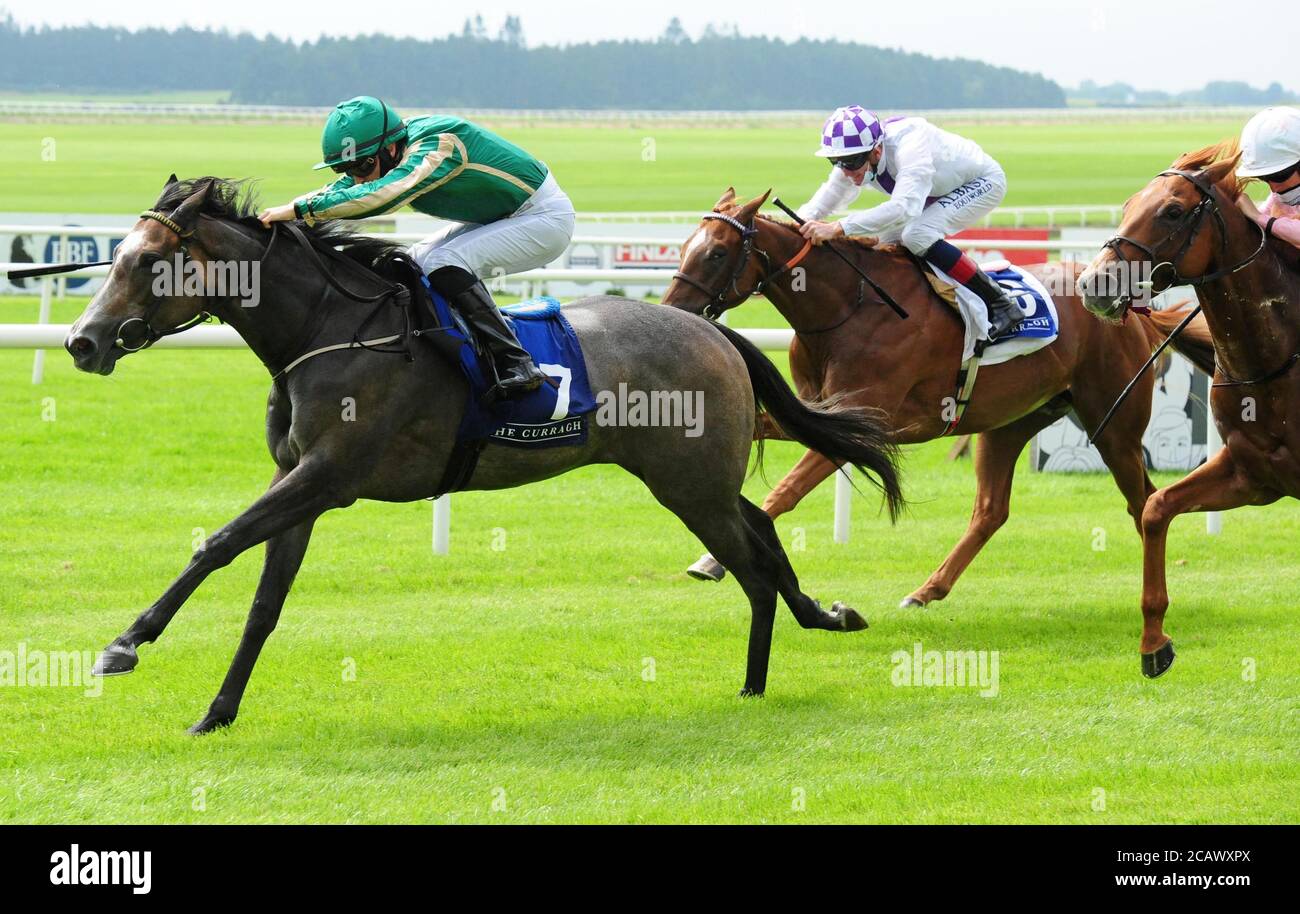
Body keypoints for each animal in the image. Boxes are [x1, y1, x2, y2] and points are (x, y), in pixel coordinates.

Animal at [63, 180, 904, 738]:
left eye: (148, 263)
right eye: (116, 257)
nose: (81, 341)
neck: (327, 327)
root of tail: (712, 329)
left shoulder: (329, 478)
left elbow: (218, 544)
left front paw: (123, 646)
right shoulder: (297, 479)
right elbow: (265, 602)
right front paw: (217, 711)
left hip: (688, 484)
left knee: (752, 564)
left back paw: (758, 680)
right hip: (696, 479)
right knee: (761, 530)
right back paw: (818, 620)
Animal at [665, 187, 1211, 611]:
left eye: (716, 253)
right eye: (684, 247)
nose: (673, 311)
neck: (848, 308)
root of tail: (1129, 310)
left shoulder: (862, 421)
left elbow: (786, 490)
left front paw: (710, 560)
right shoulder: (813, 413)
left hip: (1114, 425)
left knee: (1142, 500)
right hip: (1010, 422)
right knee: (991, 511)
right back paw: (926, 590)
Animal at [1076, 137, 1300, 681]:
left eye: (1173, 211)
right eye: (1129, 203)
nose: (1092, 284)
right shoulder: (1252, 474)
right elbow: (1156, 508)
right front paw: (1154, 641)